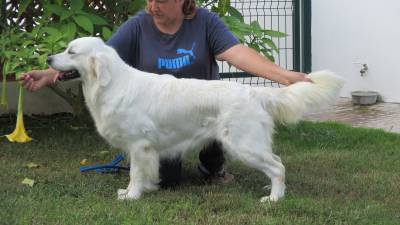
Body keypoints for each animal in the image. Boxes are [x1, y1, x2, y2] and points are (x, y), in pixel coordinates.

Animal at [47, 37, 344, 202]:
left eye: (71, 52)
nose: (48, 58)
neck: (111, 85)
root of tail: (253, 91)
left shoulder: (140, 145)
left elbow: (135, 174)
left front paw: (132, 196)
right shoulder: (142, 149)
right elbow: (140, 174)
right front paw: (138, 190)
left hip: (243, 144)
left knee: (278, 166)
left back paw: (274, 198)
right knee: (276, 164)